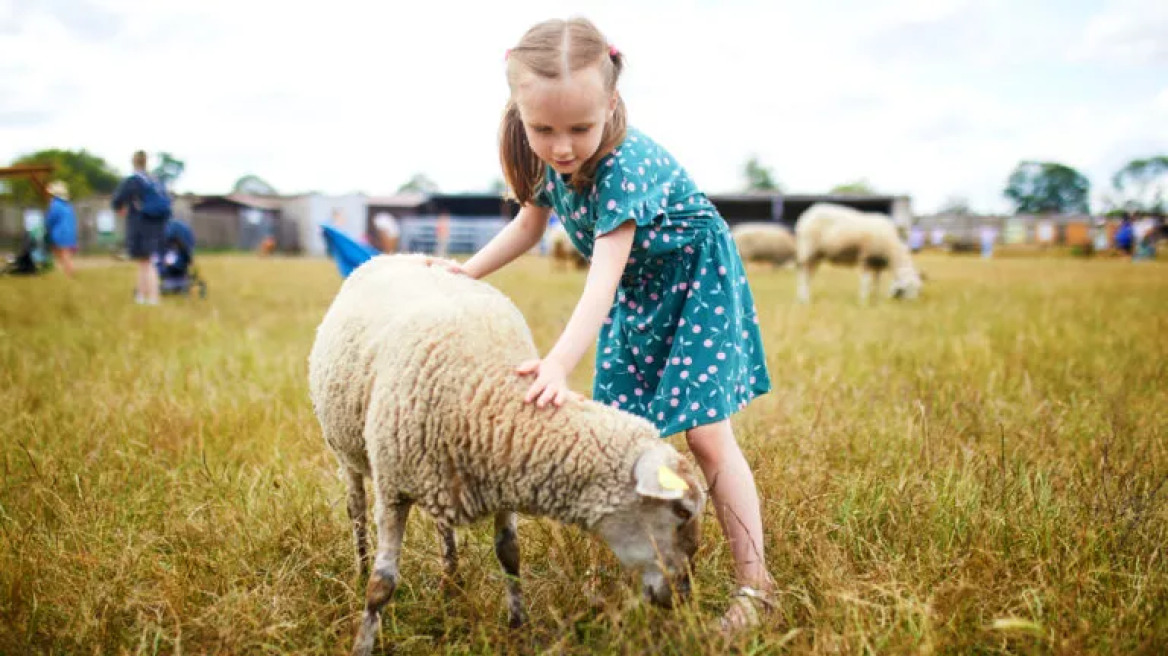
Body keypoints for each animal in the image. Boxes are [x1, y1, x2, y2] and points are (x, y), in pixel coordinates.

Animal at [308, 254, 700, 653]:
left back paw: (451, 583)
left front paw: (519, 628)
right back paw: (360, 567)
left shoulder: (502, 477)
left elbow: (510, 555)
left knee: (442, 525)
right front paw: (363, 642)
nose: (683, 595)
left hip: (436, 474)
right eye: (683, 511)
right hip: (346, 451)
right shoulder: (392, 491)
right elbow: (382, 585)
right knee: (356, 510)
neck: (489, 393)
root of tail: (398, 255)